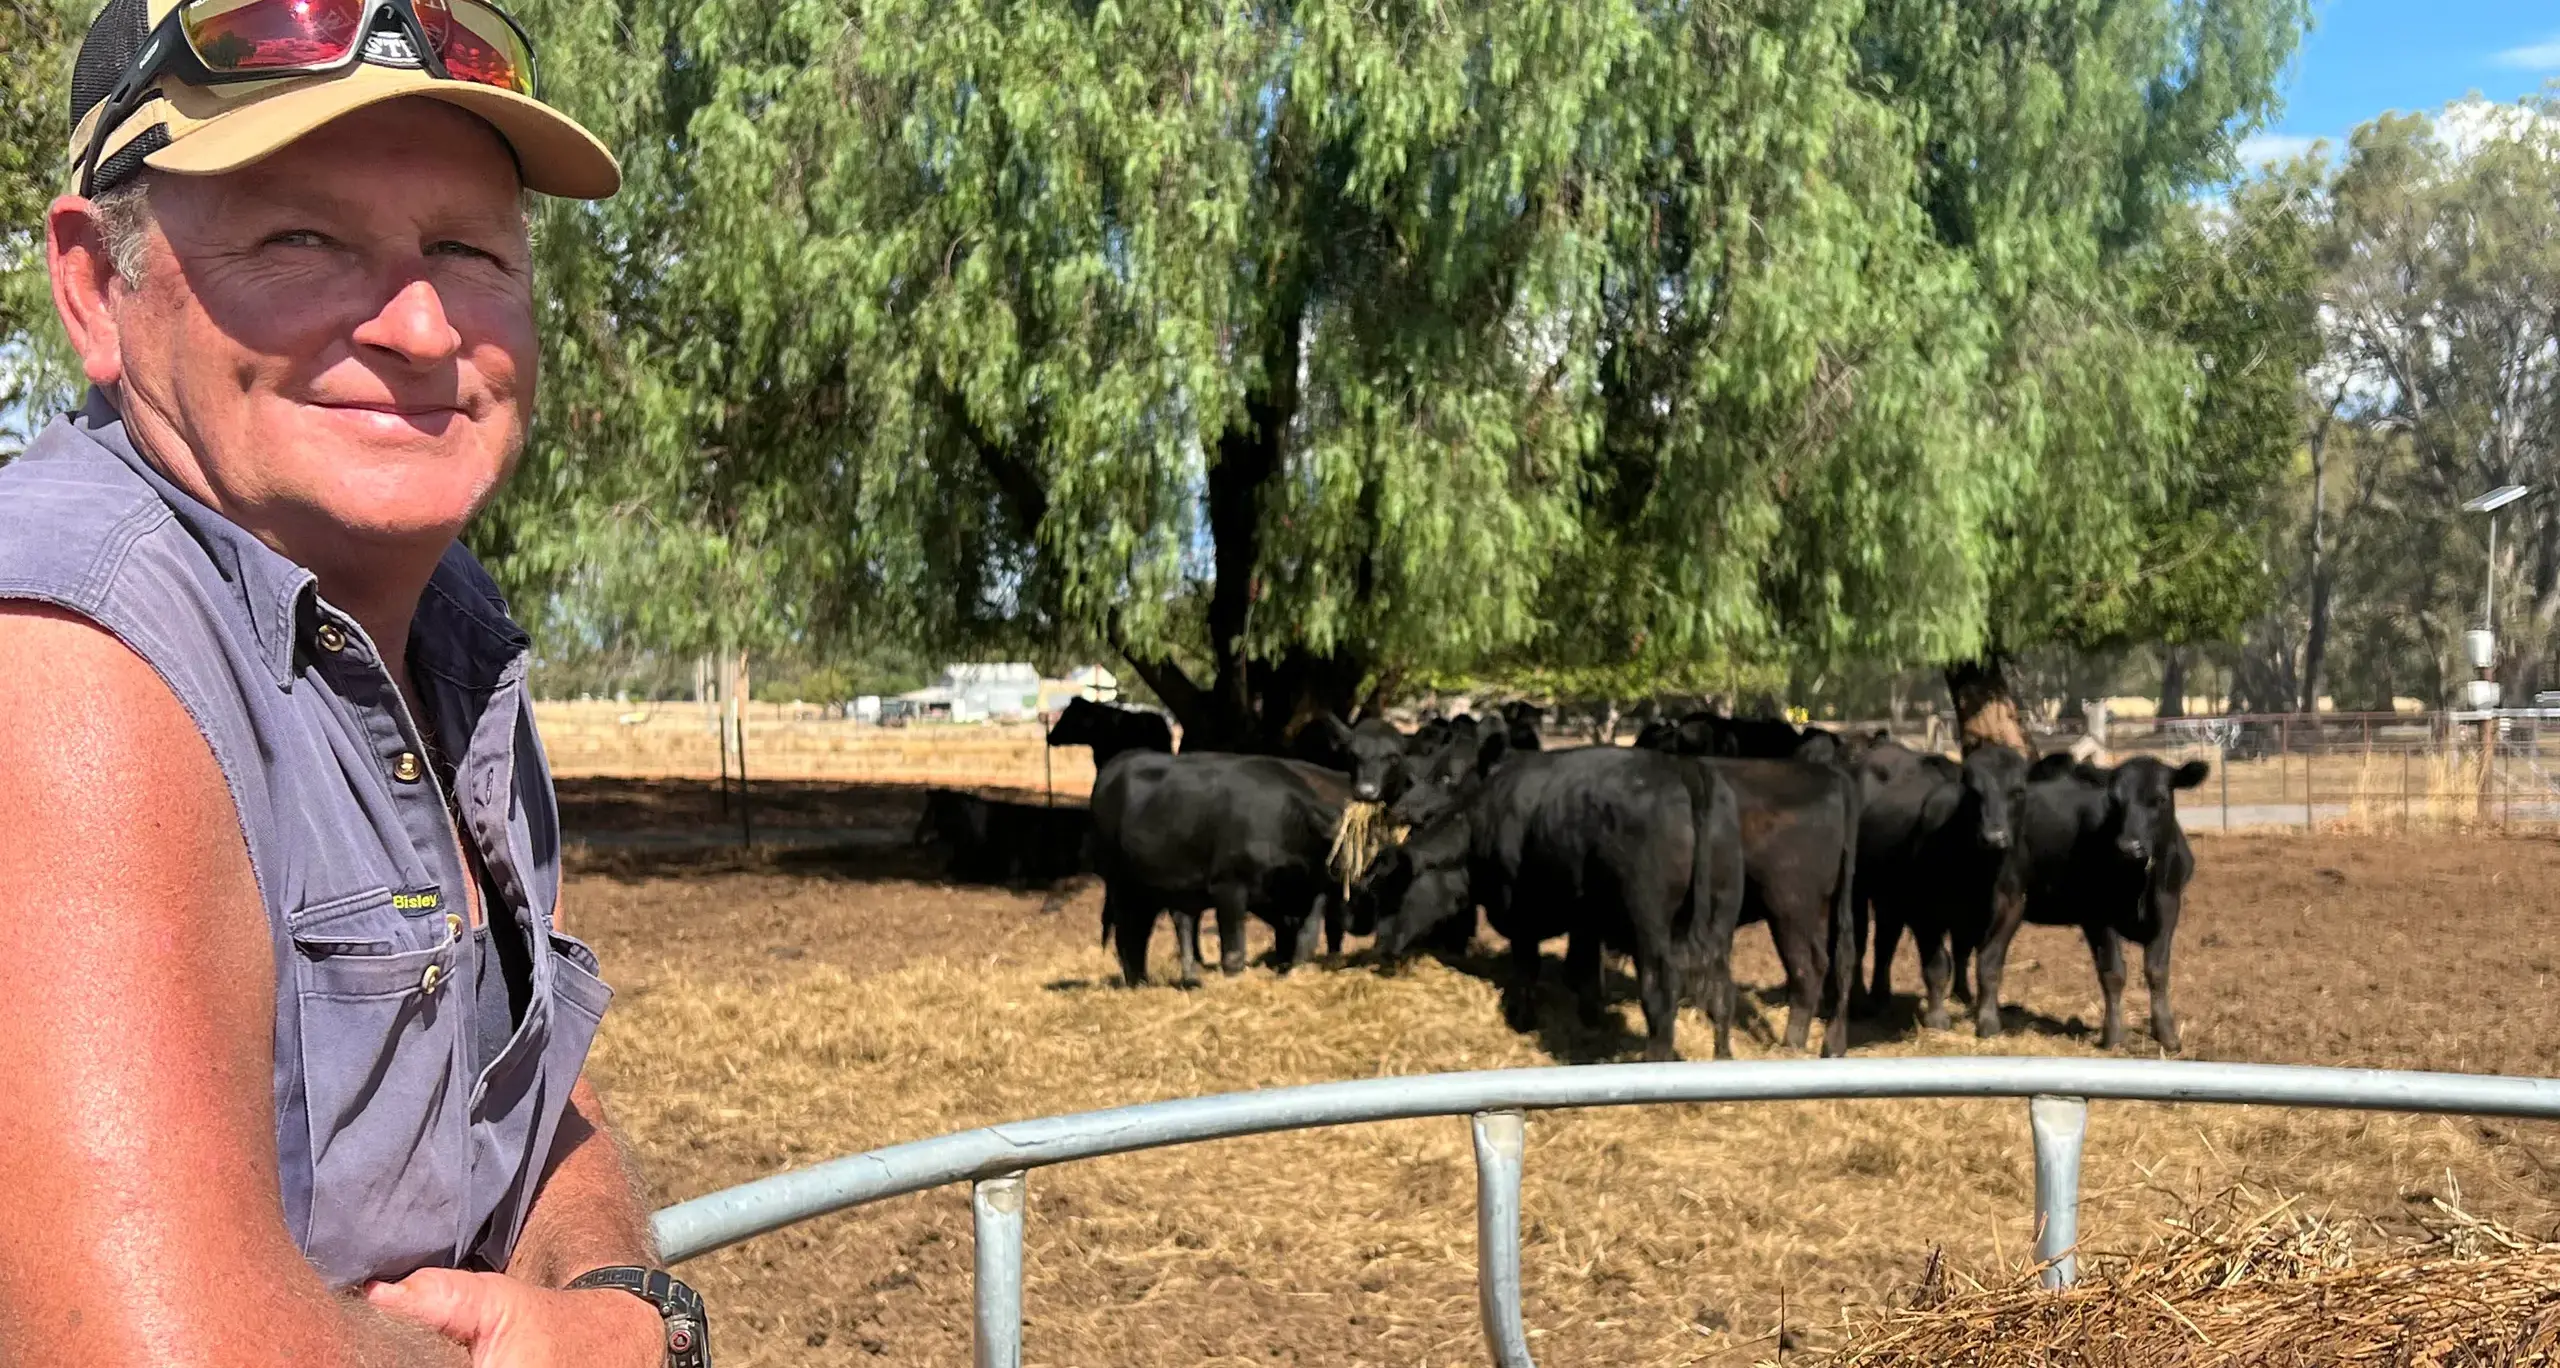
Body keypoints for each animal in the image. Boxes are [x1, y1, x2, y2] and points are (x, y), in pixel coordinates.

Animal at [1087, 751, 1356, 986]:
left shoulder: (1309, 895)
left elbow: (1305, 940)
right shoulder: (1228, 888)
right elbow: (1235, 951)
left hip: (1151, 891)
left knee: (1144, 930)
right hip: (1122, 886)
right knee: (1128, 933)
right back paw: (1137, 981)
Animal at [1367, 747, 1747, 1060]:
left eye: (1389, 889)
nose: (1381, 946)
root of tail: (1683, 767)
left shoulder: (1520, 916)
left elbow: (1527, 969)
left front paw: (1522, 1020)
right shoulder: (1586, 923)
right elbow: (1585, 974)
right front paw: (1591, 1022)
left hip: (1650, 928)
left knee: (1661, 992)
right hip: (1721, 919)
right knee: (1721, 990)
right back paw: (1723, 1057)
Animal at [1856, 745, 2031, 1035]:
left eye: (2018, 790)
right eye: (1973, 792)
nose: (1994, 838)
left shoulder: (2012, 908)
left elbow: (1988, 966)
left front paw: (1988, 1020)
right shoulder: (1923, 912)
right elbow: (1937, 965)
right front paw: (1937, 1018)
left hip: (1890, 900)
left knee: (1887, 943)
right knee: (1859, 944)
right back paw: (1863, 1000)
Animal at [1975, 754, 2210, 1050]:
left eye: (2160, 798)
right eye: (2114, 801)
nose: (2129, 846)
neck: (2138, 880)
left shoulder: (2168, 909)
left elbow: (2157, 971)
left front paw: (2166, 1035)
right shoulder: (2097, 917)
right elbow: (2113, 973)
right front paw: (2113, 1035)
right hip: (2008, 898)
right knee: (1988, 958)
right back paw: (1987, 1024)